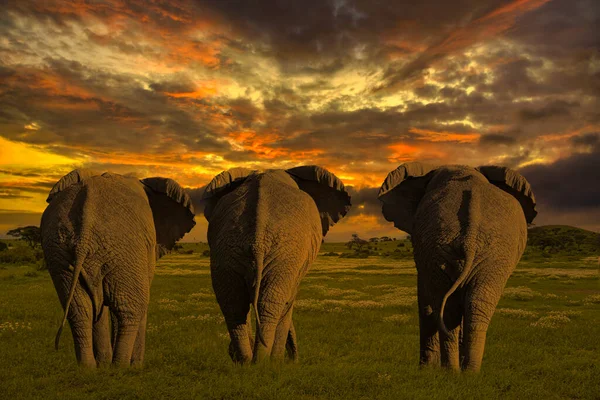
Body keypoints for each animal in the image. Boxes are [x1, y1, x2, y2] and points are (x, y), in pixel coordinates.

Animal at [41, 168, 196, 366]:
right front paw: (135, 366)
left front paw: (103, 364)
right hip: (124, 248)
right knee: (130, 309)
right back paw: (121, 367)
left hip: (59, 250)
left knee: (82, 310)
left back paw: (89, 367)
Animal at [203, 165, 352, 362]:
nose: (294, 359)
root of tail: (257, 240)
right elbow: (288, 302)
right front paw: (279, 360)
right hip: (284, 255)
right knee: (270, 304)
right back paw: (265, 362)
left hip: (226, 251)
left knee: (234, 305)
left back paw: (246, 361)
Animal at [378, 162, 536, 372]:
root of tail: (470, 236)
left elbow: (426, 300)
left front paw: (426, 369)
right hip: (478, 251)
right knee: (471, 304)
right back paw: (467, 372)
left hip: (459, 249)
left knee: (451, 305)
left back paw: (452, 371)